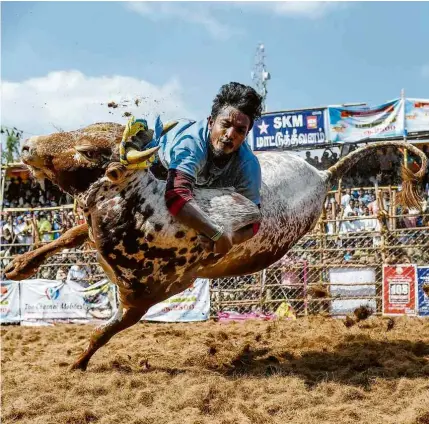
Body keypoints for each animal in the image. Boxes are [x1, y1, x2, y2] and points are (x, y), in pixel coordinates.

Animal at [5, 120, 426, 372]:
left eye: (88, 151)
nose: (27, 146)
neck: (145, 208)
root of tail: (322, 174)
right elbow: (70, 235)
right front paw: (19, 266)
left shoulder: (141, 300)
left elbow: (102, 332)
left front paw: (76, 365)